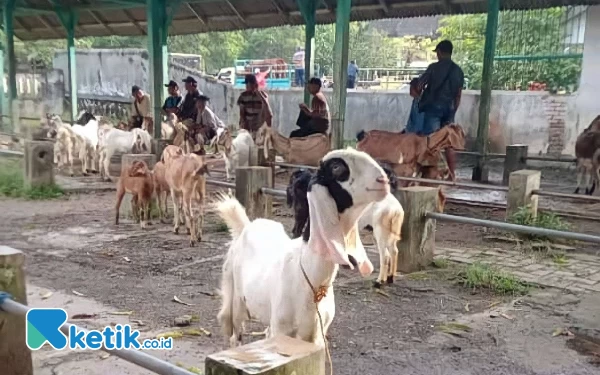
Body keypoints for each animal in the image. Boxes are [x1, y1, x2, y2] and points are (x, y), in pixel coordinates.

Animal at [216, 148, 390, 348]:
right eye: (336, 167)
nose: (383, 180)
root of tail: (246, 225)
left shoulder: (317, 335)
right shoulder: (282, 329)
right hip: (236, 298)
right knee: (235, 334)